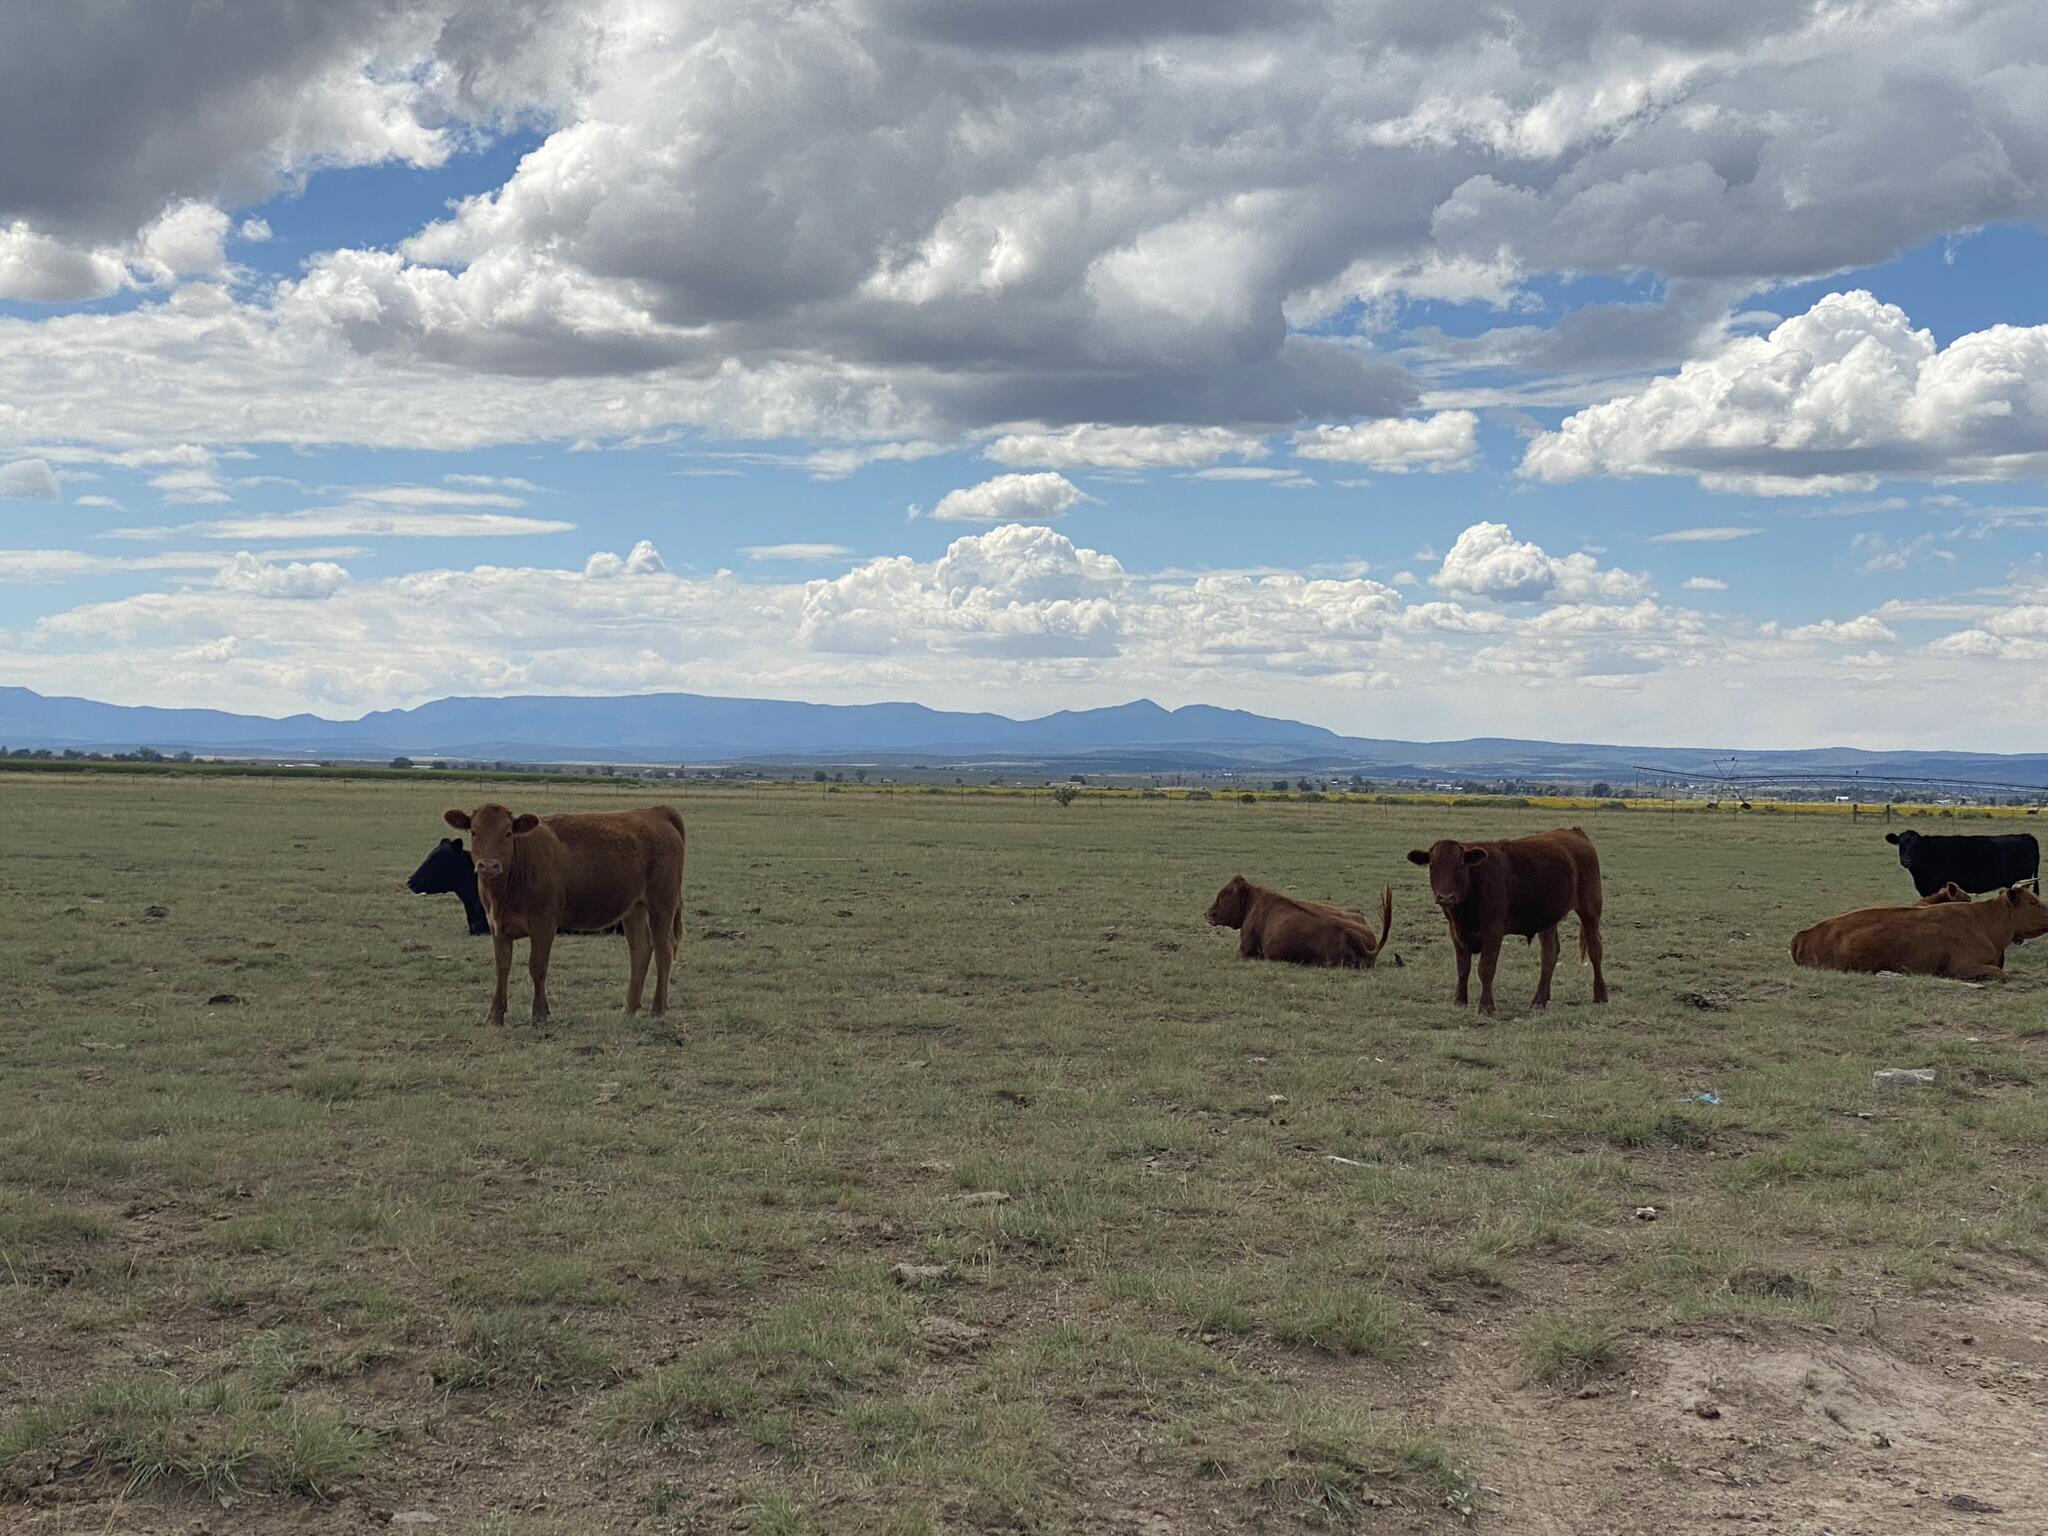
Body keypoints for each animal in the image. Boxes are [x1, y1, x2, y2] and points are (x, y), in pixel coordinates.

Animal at [442, 798, 688, 1028]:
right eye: (474, 832)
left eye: (508, 832)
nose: (488, 866)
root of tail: (656, 812)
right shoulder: (497, 926)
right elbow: (502, 967)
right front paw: (495, 1016)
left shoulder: (544, 923)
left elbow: (537, 966)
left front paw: (539, 1014)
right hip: (634, 908)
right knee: (640, 950)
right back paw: (629, 1008)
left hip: (661, 904)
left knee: (663, 950)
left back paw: (658, 1008)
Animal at [1417, 823, 1605, 1015]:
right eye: (1432, 866)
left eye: (1461, 865)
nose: (1446, 897)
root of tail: (1574, 832)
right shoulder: (1456, 933)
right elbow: (1463, 968)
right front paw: (1459, 1000)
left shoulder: (1493, 931)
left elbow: (1485, 968)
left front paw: (1486, 1006)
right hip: (1548, 920)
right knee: (1549, 955)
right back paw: (1540, 1000)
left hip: (1590, 908)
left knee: (1595, 949)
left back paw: (1600, 995)